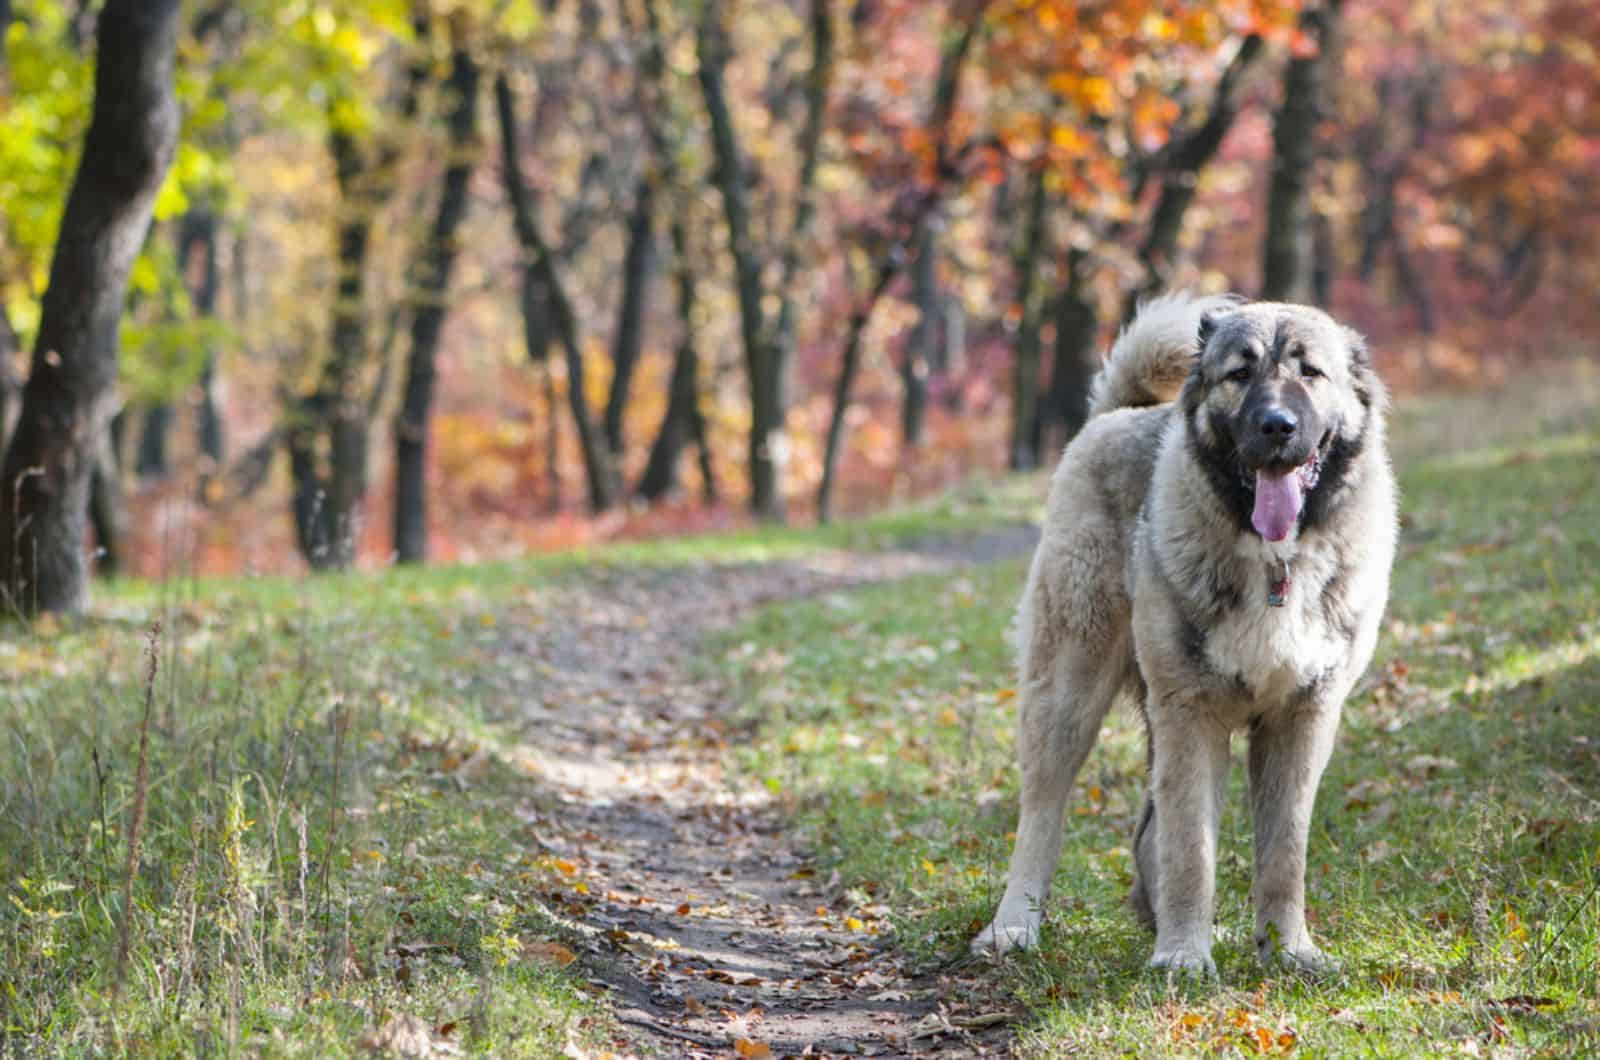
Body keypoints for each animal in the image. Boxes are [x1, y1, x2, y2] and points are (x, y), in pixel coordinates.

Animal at [966, 293, 1395, 979]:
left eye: (1310, 373)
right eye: (1239, 374)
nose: (1277, 426)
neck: (1275, 564)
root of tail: (1120, 413)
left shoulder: (1301, 719)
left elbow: (1284, 853)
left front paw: (1287, 951)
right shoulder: (1192, 714)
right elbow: (1191, 849)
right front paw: (1184, 959)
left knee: (1147, 831)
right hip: (1067, 693)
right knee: (1042, 815)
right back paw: (1014, 927)